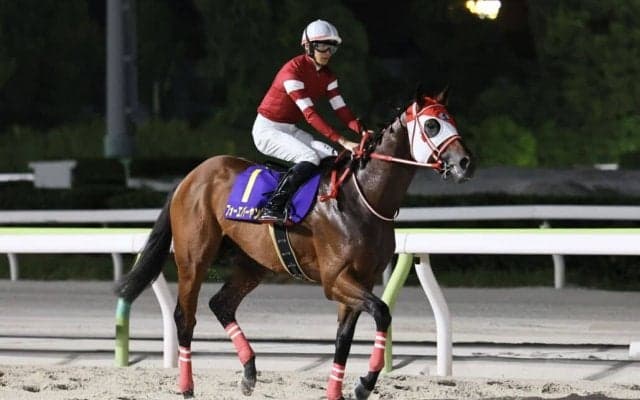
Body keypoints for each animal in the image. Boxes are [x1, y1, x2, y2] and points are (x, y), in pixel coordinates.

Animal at [115, 87, 474, 400]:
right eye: (432, 124)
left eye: (452, 119)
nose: (465, 162)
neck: (362, 198)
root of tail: (189, 178)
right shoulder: (336, 279)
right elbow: (382, 312)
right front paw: (364, 384)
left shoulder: (363, 279)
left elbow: (344, 338)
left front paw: (339, 391)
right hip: (194, 258)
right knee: (184, 317)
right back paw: (187, 387)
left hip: (253, 264)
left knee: (221, 304)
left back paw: (249, 373)